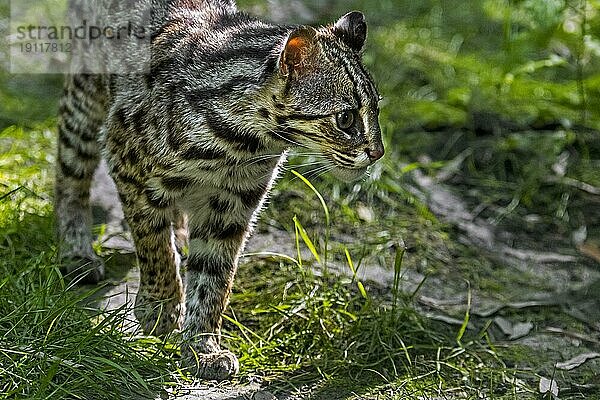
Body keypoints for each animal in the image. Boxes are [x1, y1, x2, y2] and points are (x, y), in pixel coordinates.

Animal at [56, 0, 384, 382]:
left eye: (376, 110)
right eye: (346, 118)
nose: (378, 153)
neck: (242, 142)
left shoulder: (232, 205)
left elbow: (214, 276)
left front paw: (203, 346)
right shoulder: (127, 160)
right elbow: (155, 247)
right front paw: (161, 308)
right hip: (85, 99)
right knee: (70, 174)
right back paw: (77, 252)